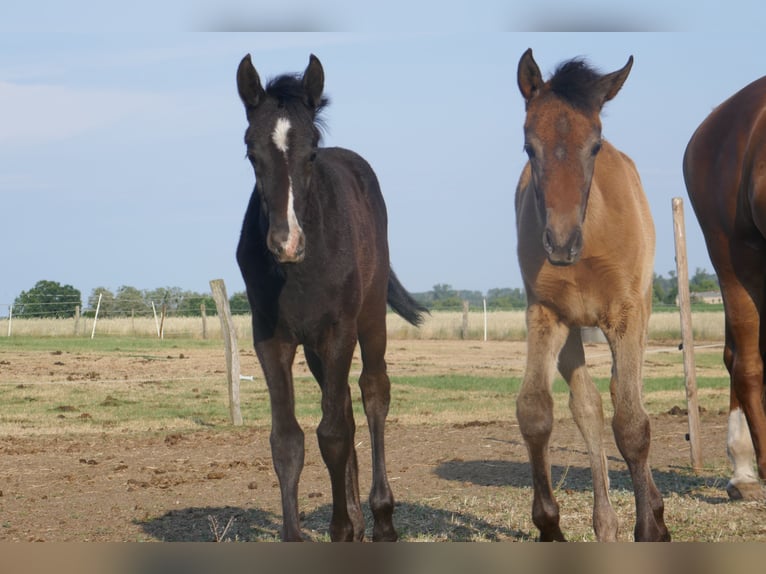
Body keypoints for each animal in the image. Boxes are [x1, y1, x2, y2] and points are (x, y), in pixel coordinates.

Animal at [235, 54, 427, 541]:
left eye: (310, 152)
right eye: (251, 152)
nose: (285, 242)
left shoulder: (339, 329)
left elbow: (334, 434)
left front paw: (341, 530)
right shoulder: (272, 337)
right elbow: (288, 439)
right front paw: (302, 533)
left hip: (369, 319)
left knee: (372, 393)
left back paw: (380, 519)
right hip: (317, 350)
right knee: (341, 404)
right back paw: (359, 520)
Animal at [514, 49, 670, 542]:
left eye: (595, 146)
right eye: (529, 147)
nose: (560, 243)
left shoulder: (626, 314)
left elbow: (633, 425)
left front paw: (649, 528)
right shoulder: (546, 314)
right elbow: (536, 411)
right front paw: (549, 526)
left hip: (639, 313)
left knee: (624, 395)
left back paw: (653, 511)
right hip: (574, 330)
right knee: (589, 407)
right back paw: (605, 525)